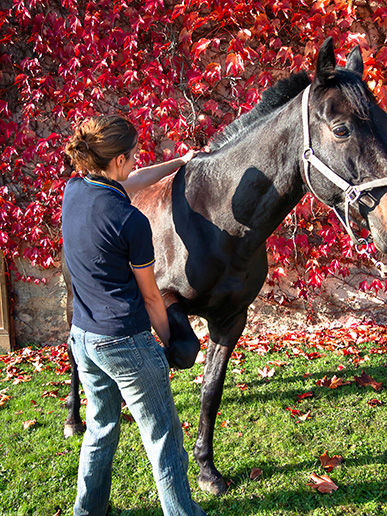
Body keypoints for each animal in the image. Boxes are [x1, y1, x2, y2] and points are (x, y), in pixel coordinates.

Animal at [63, 38, 387, 494]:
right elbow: (182, 349)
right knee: (75, 351)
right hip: (76, 299)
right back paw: (75, 418)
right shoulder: (163, 297)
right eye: (341, 129)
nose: (386, 224)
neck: (218, 217)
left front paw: (207, 469)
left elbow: (211, 391)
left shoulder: (232, 319)